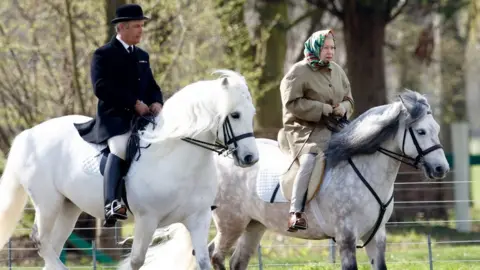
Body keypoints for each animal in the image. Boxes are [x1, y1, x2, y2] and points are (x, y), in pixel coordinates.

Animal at [0, 69, 258, 270]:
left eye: (252, 114)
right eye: (235, 115)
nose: (251, 158)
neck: (179, 158)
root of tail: (29, 134)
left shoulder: (199, 218)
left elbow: (202, 261)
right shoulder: (147, 219)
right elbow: (136, 261)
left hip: (68, 207)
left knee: (52, 247)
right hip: (48, 203)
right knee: (41, 241)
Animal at [205, 90, 450, 270]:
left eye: (437, 129)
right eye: (420, 131)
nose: (441, 169)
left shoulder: (376, 236)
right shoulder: (346, 237)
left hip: (254, 225)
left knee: (236, 261)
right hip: (231, 223)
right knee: (214, 255)